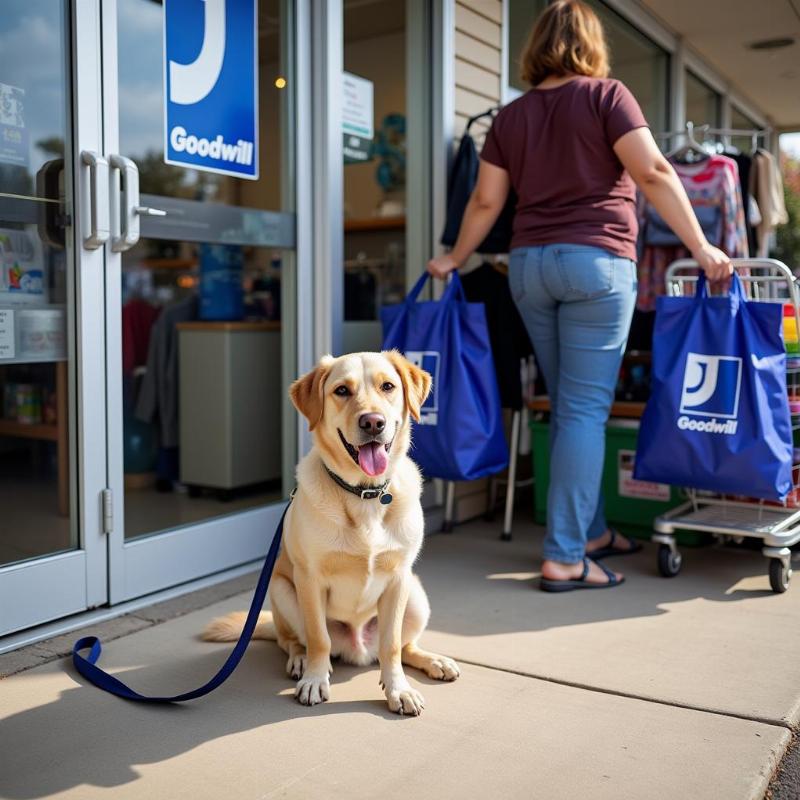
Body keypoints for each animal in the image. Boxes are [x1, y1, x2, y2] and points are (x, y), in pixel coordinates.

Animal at [203, 354, 460, 716]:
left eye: (388, 386)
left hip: (416, 595)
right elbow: (318, 637)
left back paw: (433, 661)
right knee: (291, 640)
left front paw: (398, 689)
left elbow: (392, 645)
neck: (365, 494)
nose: (373, 423)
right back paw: (301, 661)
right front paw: (314, 679)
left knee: (401, 645)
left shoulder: (399, 578)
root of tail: (358, 650)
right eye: (341, 390)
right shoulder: (309, 579)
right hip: (281, 589)